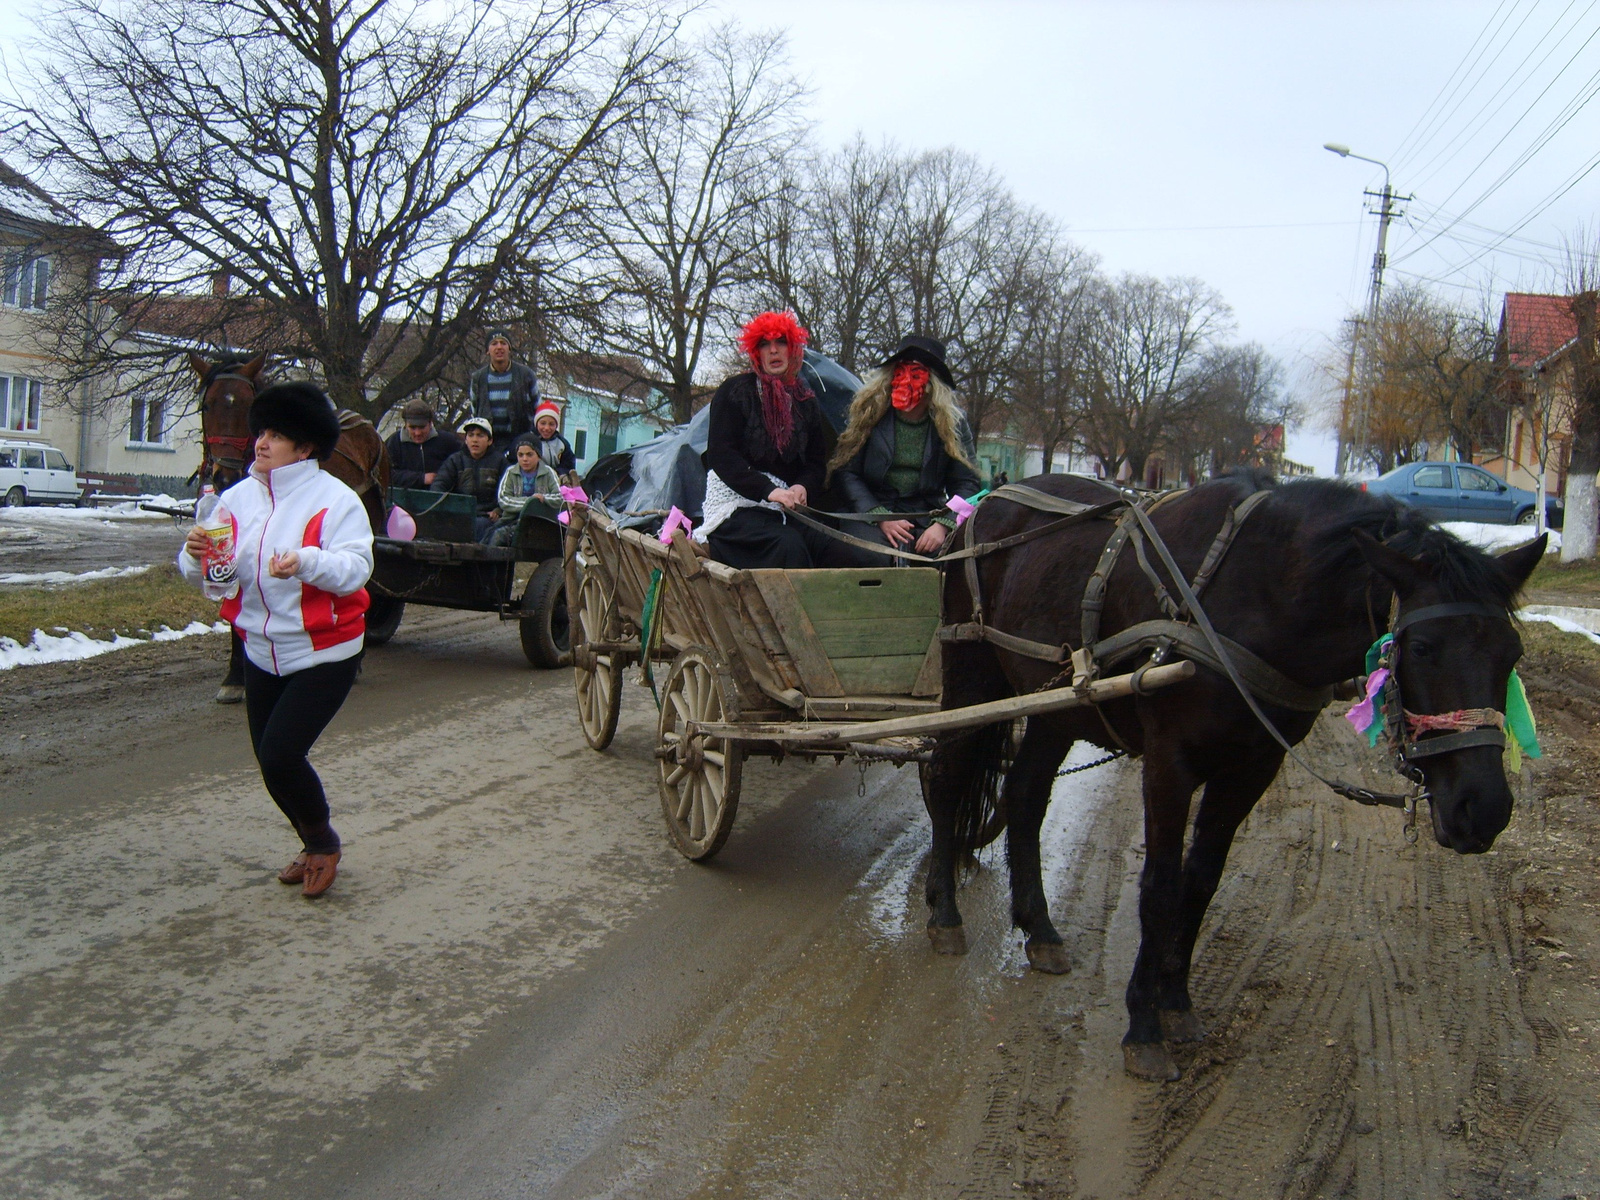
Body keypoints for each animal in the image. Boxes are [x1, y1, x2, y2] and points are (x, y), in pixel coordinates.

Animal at [928, 473, 1548, 1088]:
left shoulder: (1253, 769)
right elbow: (1160, 886)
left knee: (1025, 797)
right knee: (947, 783)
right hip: (972, 676)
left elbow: (1201, 880)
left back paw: (1039, 928)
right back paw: (943, 912)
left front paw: (1174, 1001)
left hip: (1057, 707)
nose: (1484, 809)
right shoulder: (1169, 763)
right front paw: (1143, 1026)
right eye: (1421, 648)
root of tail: (987, 502)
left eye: (1512, 654)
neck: (1261, 595)